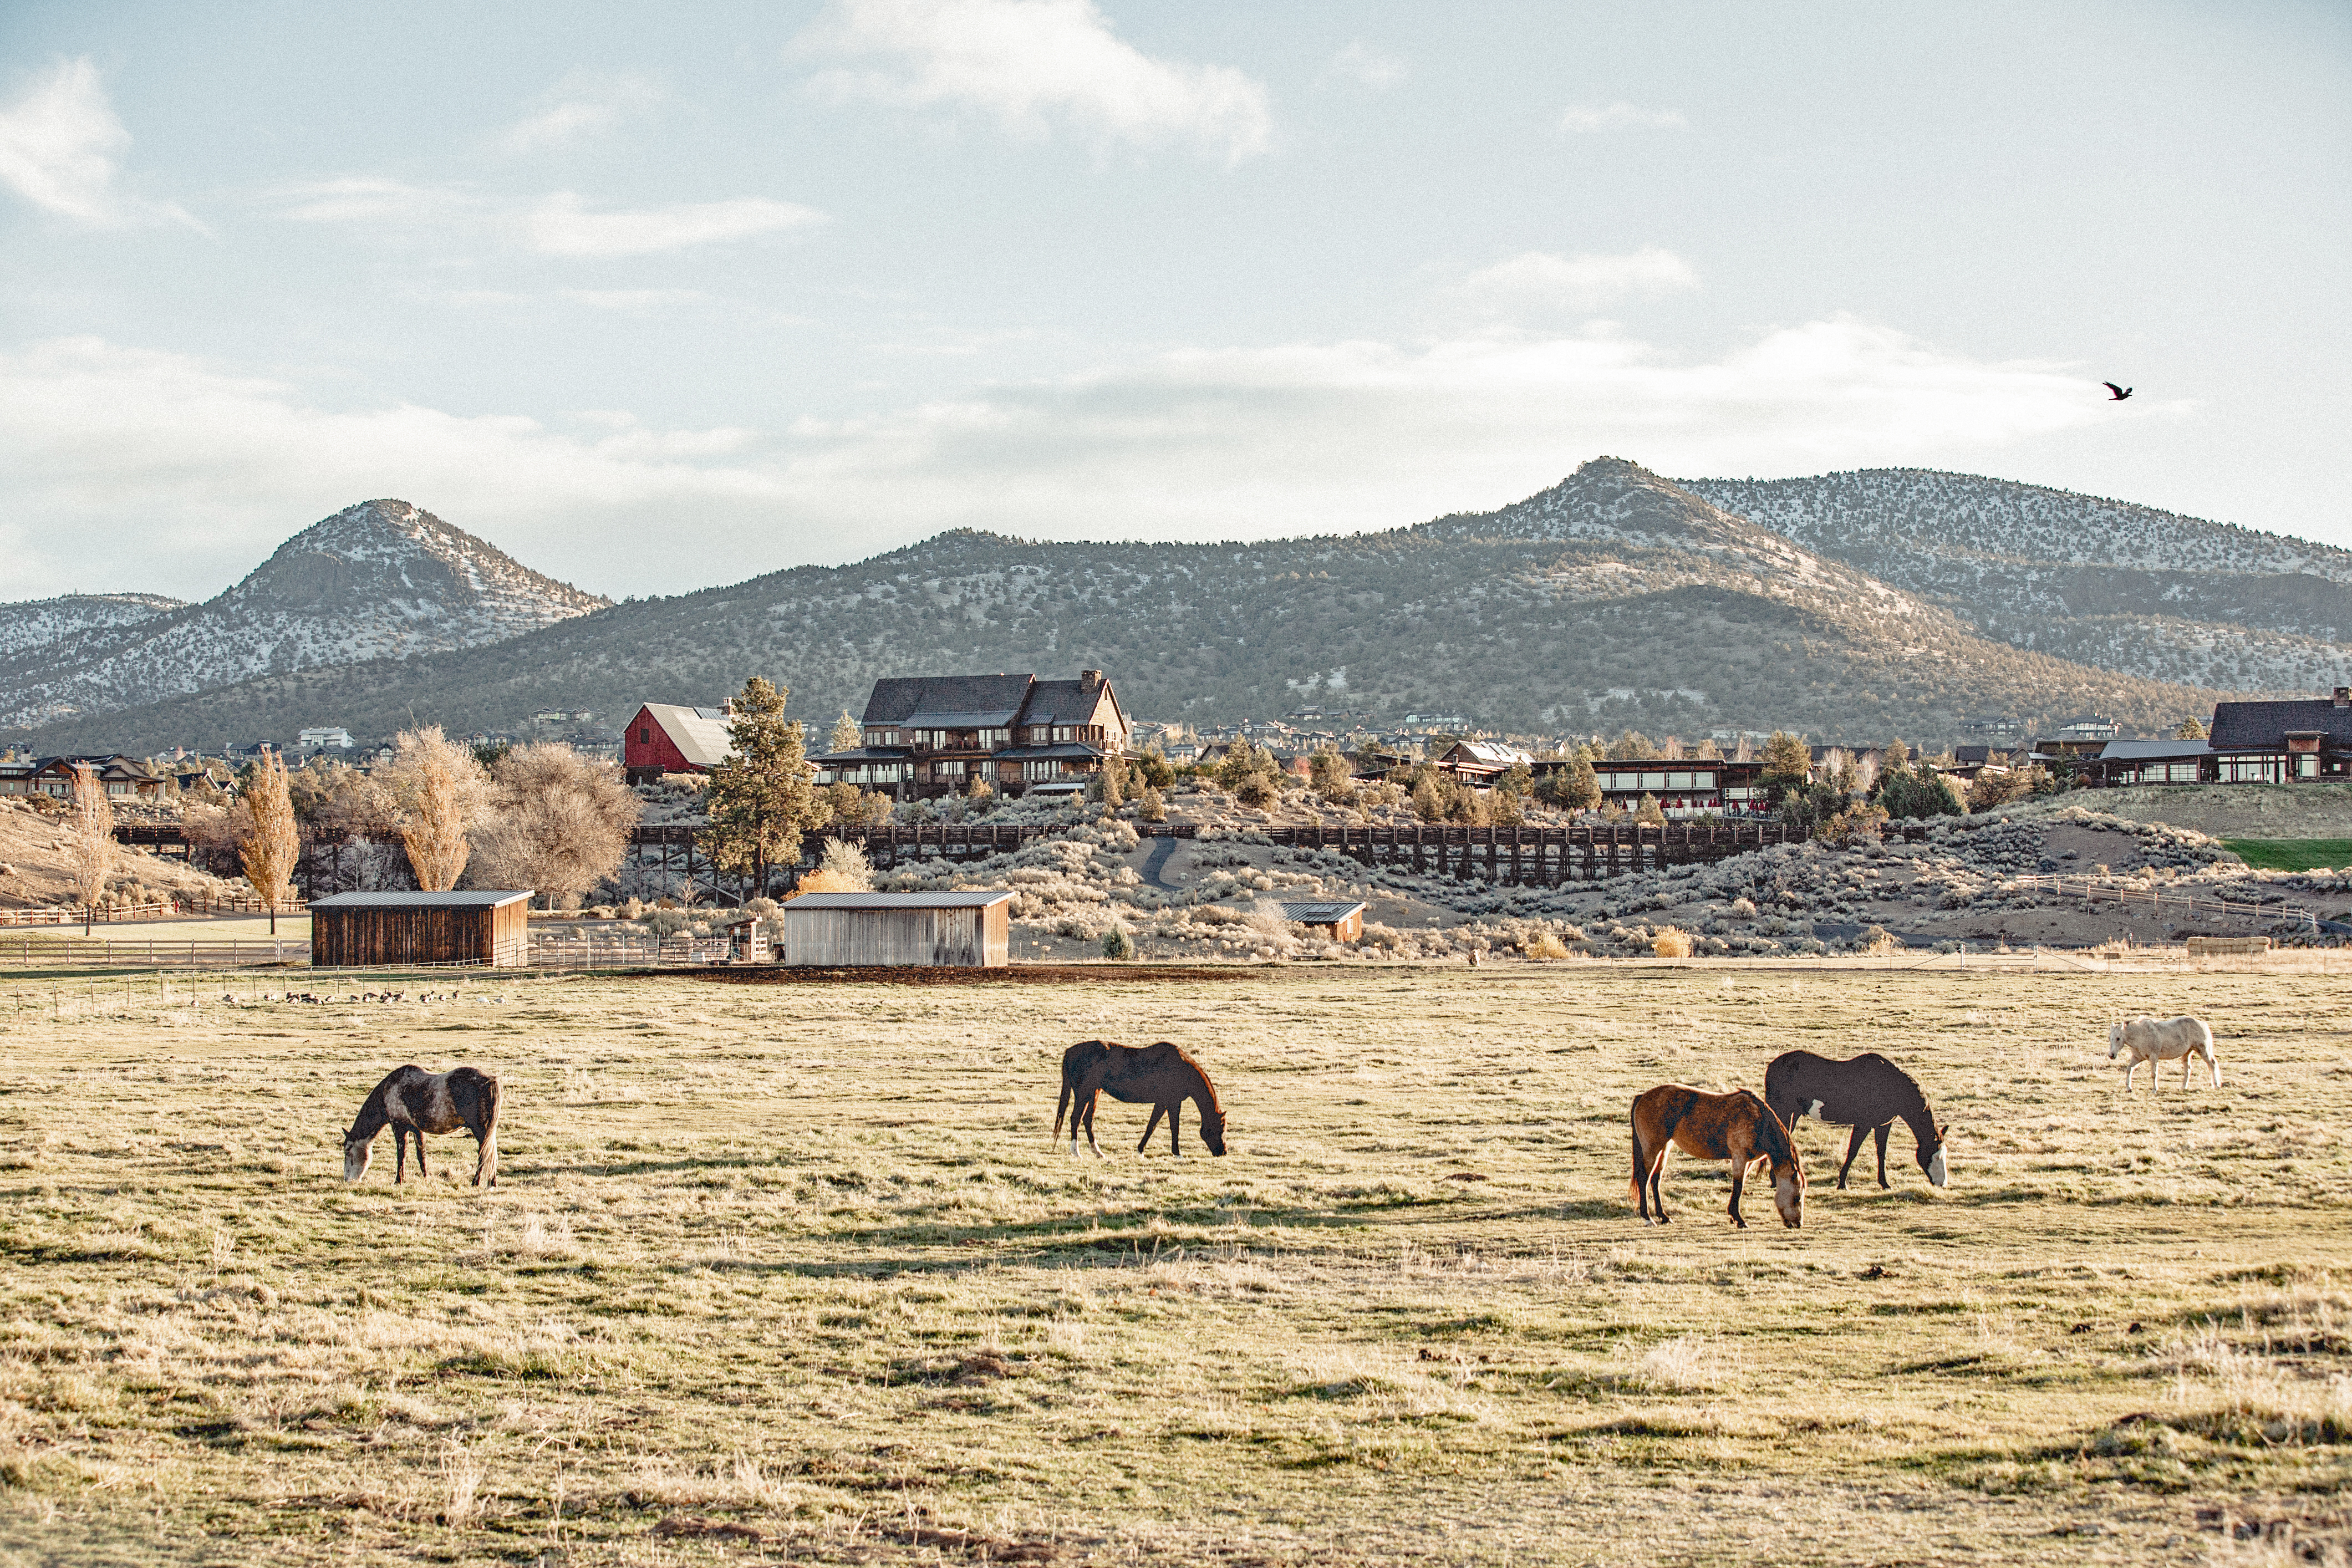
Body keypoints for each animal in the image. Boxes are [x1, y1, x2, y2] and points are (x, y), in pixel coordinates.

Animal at [343, 1067, 498, 1189]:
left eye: (348, 1151)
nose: (347, 1180)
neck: (390, 1089)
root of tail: (491, 1080)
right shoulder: (417, 1130)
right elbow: (421, 1155)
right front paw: (425, 1178)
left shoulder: (399, 1128)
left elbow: (401, 1155)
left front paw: (398, 1181)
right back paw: (492, 1183)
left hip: (480, 1130)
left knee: (484, 1155)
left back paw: (477, 1182)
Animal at [1053, 1034, 1232, 1161]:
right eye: (1221, 1128)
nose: (1223, 1152)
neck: (1181, 1069)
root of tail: (1070, 1051)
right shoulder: (1172, 1103)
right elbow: (1172, 1127)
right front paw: (1177, 1154)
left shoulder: (1163, 1102)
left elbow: (1153, 1125)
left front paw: (1141, 1150)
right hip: (1084, 1094)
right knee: (1075, 1118)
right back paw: (1076, 1152)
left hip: (1094, 1092)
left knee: (1087, 1120)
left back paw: (1098, 1152)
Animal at [1627, 1086, 1806, 1231]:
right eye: (1797, 1197)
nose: (1798, 1224)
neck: (1759, 1120)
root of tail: (1642, 1097)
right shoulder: (1739, 1158)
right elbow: (1738, 1187)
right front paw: (1739, 1219)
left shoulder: (1747, 1161)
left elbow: (1740, 1186)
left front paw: (1733, 1217)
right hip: (1652, 1149)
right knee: (1644, 1178)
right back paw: (1648, 1218)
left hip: (1665, 1147)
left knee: (1655, 1179)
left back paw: (1663, 1216)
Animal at [1768, 1053, 1947, 1189]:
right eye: (1935, 1156)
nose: (1942, 1184)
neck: (1889, 1086)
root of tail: (1773, 1065)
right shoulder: (1863, 1125)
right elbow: (1853, 1151)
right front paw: (1842, 1183)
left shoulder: (1883, 1125)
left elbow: (1881, 1152)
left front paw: (1884, 1184)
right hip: (1783, 1112)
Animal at [2116, 1020, 2220, 1091]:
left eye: (2118, 1038)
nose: (2113, 1055)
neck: (2141, 1035)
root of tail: (2204, 1024)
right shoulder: (2137, 1058)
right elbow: (2129, 1069)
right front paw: (2129, 1088)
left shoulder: (2154, 1058)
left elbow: (2154, 1074)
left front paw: (2155, 1089)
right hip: (2187, 1053)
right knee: (2188, 1069)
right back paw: (2184, 1087)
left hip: (2203, 1050)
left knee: (2213, 1064)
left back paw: (2217, 1085)